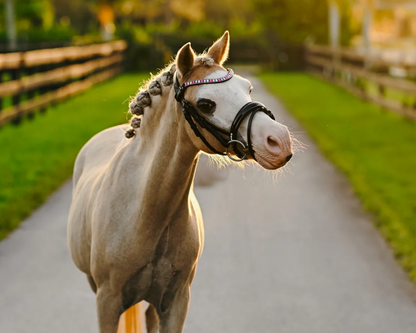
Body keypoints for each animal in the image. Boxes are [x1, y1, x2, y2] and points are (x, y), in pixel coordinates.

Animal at [67, 31, 292, 332]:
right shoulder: (107, 302)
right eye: (206, 104)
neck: (145, 211)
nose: (279, 140)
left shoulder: (176, 302)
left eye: (248, 89)